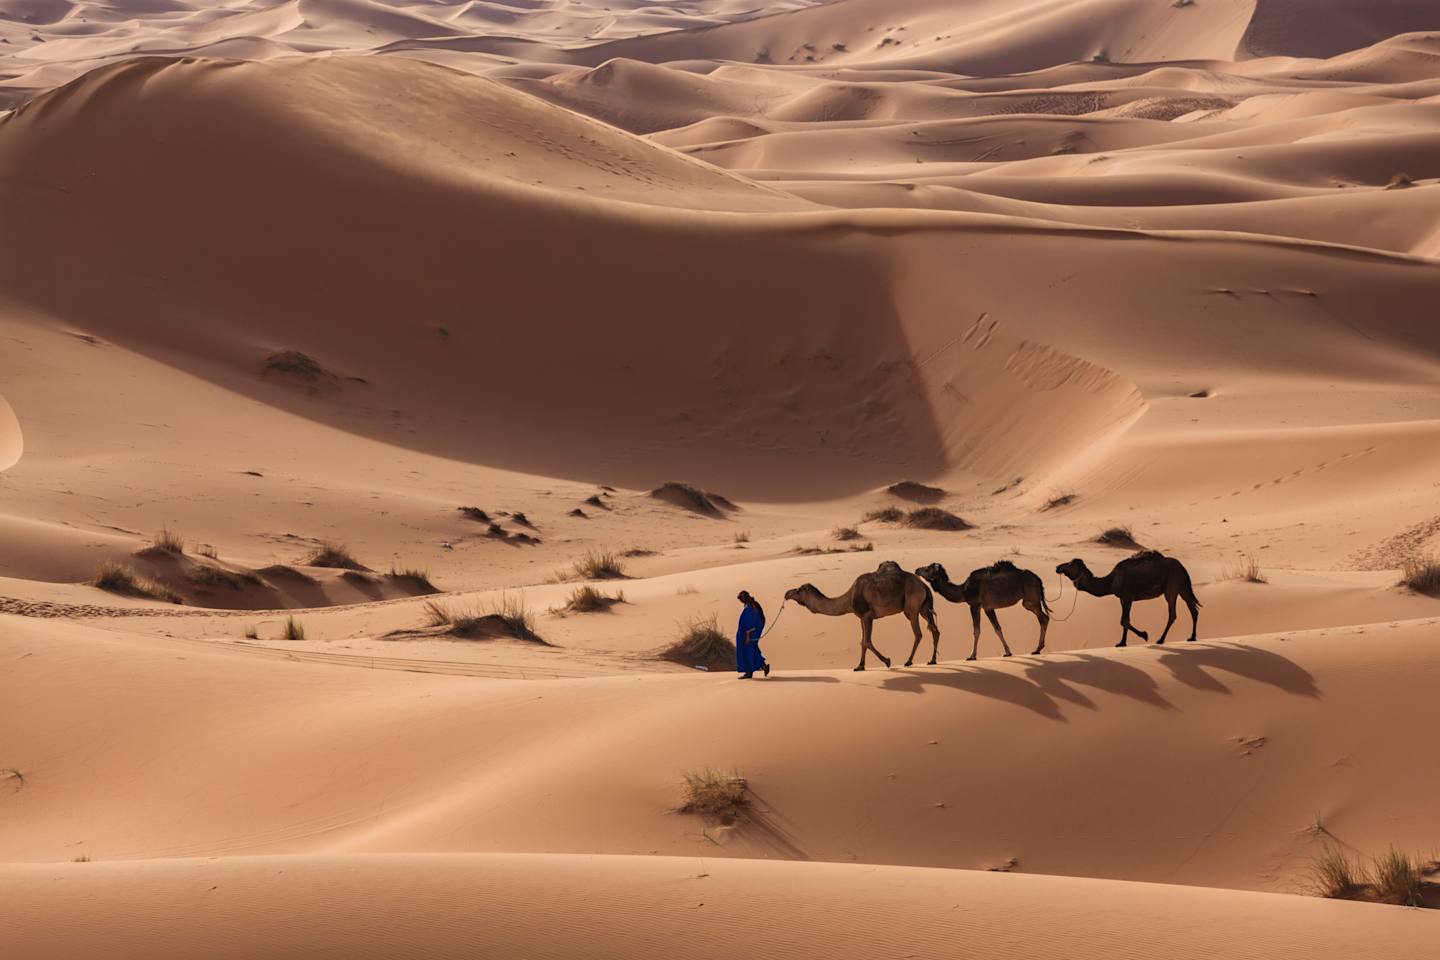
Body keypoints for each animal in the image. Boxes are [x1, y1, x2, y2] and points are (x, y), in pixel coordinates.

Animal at [784, 560, 941, 670]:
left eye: (798, 590)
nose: (786, 593)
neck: (849, 598)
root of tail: (924, 585)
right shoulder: (860, 618)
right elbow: (862, 642)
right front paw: (860, 666)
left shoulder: (867, 615)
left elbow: (867, 641)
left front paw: (887, 661)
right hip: (923, 608)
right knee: (935, 630)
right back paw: (932, 660)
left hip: (911, 608)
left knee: (918, 633)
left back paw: (908, 661)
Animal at [914, 560, 1050, 659]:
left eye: (927, 569)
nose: (917, 570)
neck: (963, 591)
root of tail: (1038, 578)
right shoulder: (986, 607)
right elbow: (996, 628)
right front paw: (1007, 652)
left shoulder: (975, 605)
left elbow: (977, 630)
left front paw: (972, 656)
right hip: (1030, 601)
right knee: (1045, 617)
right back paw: (1038, 648)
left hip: (1030, 600)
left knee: (1043, 618)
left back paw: (1037, 649)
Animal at [1055, 551, 1201, 647]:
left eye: (1070, 564)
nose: (1058, 567)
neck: (1110, 581)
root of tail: (1182, 567)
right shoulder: (1122, 599)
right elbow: (1125, 621)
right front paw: (1122, 642)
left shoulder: (1127, 597)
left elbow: (1123, 621)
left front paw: (1144, 635)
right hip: (1182, 587)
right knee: (1193, 609)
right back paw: (1192, 637)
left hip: (1171, 587)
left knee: (1173, 614)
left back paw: (1160, 639)